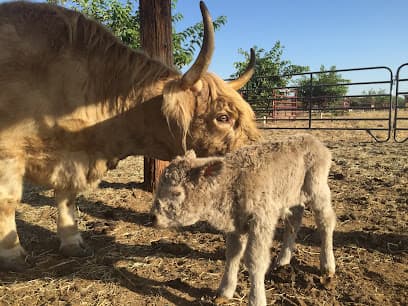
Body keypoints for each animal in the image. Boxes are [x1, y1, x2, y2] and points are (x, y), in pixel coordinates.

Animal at [151, 135, 336, 306]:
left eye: (176, 193)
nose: (153, 217)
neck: (232, 181)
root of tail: (312, 140)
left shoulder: (260, 221)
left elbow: (255, 260)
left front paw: (256, 299)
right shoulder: (236, 225)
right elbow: (232, 255)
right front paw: (224, 291)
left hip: (317, 190)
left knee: (326, 221)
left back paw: (328, 267)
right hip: (291, 196)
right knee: (294, 221)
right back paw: (283, 260)